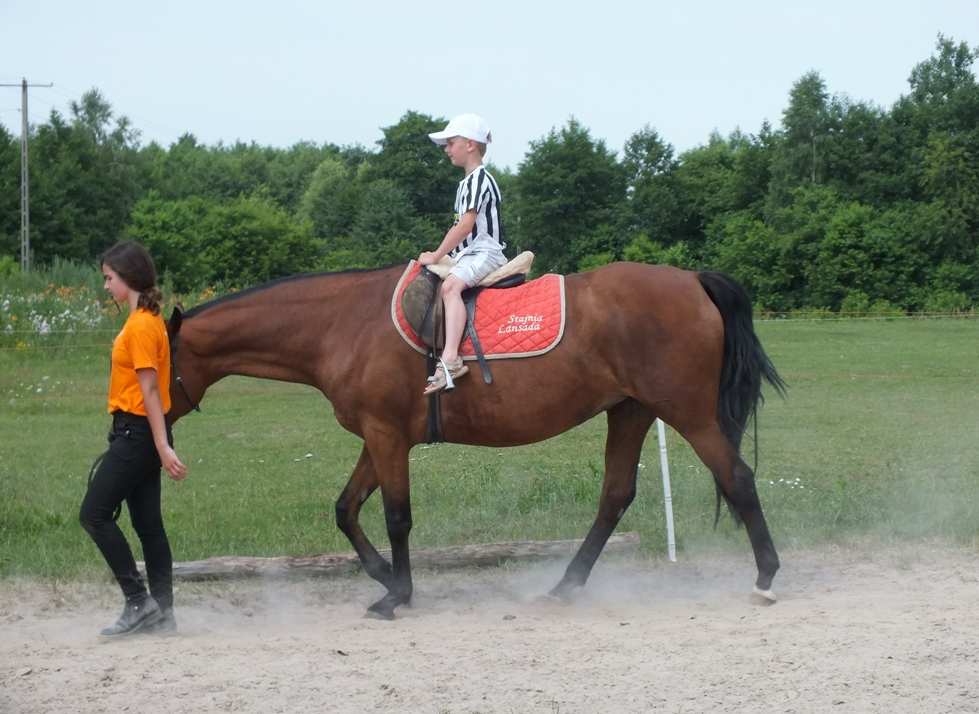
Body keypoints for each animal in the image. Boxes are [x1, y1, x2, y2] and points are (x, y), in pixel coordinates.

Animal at [165, 260, 784, 616]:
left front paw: (398, 593)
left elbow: (396, 517)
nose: (150, 428)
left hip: (688, 412)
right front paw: (385, 576)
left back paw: (766, 576)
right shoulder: (378, 435)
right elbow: (346, 509)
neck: (343, 324)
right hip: (630, 411)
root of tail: (691, 279)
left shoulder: (387, 436)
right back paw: (566, 584)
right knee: (615, 496)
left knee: (737, 477)